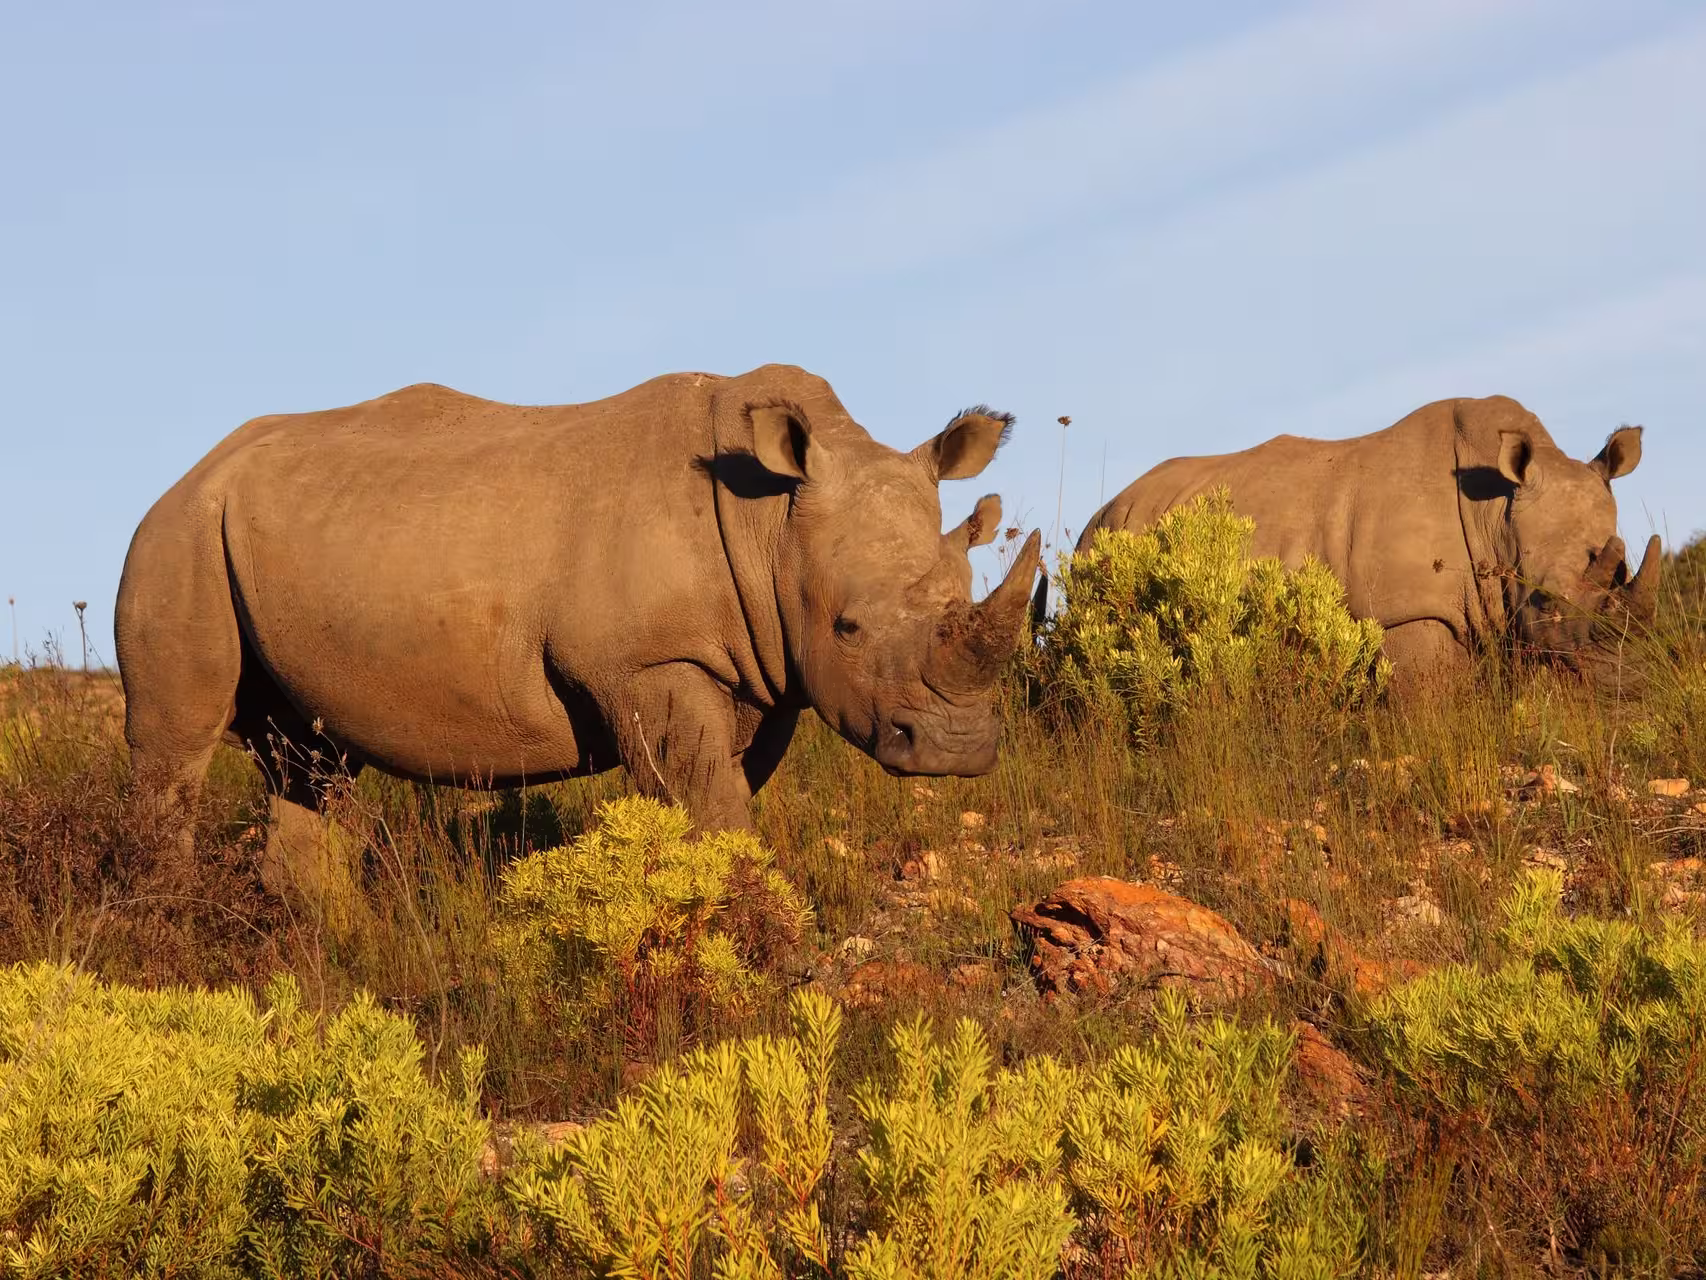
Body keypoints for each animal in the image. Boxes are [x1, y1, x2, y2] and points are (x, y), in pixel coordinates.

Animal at [116, 365, 1041, 901]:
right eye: (847, 625)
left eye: (963, 591)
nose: (955, 750)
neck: (773, 524)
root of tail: (189, 472)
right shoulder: (649, 660)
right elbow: (710, 802)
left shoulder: (763, 673)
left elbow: (722, 796)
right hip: (177, 535)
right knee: (179, 745)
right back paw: (168, 923)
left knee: (309, 761)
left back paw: (331, 950)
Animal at [1079, 395, 1658, 682]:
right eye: (1542, 600)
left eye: (1622, 573)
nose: (1612, 671)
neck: (1496, 511)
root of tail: (1103, 509)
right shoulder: (1410, 610)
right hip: (1105, 543)